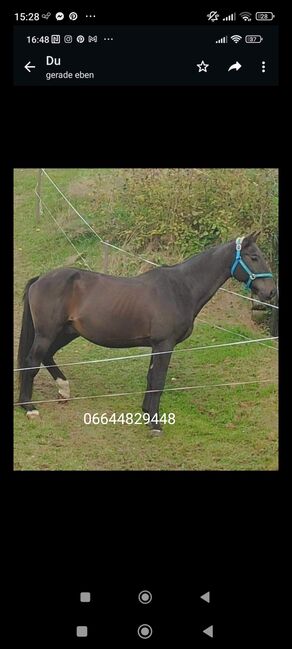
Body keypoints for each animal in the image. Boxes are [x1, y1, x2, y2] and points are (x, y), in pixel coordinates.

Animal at [17, 232, 274, 430]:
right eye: (254, 257)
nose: (271, 292)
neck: (180, 288)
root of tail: (40, 279)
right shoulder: (164, 344)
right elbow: (159, 380)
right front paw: (155, 423)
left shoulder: (156, 346)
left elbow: (151, 378)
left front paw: (146, 413)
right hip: (48, 333)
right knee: (32, 361)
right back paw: (28, 408)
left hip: (67, 332)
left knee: (46, 356)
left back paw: (63, 390)